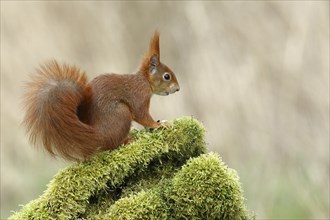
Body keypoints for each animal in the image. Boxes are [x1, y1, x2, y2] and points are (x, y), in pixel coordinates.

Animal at [22, 31, 179, 162]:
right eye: (166, 76)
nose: (178, 89)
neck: (144, 81)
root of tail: (96, 134)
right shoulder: (139, 95)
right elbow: (142, 115)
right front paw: (159, 124)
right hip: (121, 113)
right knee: (111, 144)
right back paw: (126, 140)